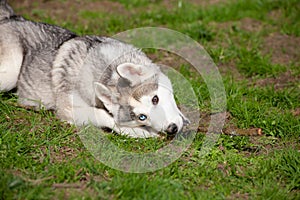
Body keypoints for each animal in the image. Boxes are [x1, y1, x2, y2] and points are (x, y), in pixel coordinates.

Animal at [0, 0, 188, 138]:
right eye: (142, 117)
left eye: (155, 99)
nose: (171, 128)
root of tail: (10, 17)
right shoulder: (68, 109)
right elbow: (103, 115)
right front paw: (137, 131)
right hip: (11, 72)